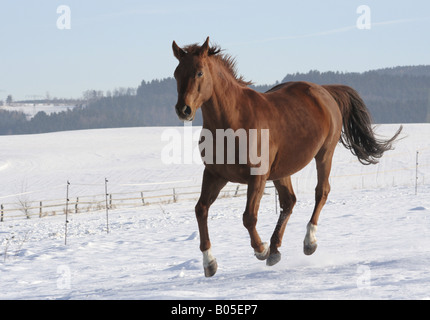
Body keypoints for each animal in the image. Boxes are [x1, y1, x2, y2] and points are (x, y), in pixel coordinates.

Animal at [171, 38, 404, 278]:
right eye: (176, 73)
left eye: (199, 73)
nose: (183, 109)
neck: (232, 122)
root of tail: (325, 91)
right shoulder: (214, 174)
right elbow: (201, 210)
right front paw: (209, 263)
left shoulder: (257, 176)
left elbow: (249, 216)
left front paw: (260, 249)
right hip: (282, 171)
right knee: (289, 202)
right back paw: (275, 250)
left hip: (324, 154)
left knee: (321, 191)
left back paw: (308, 242)